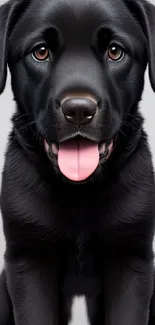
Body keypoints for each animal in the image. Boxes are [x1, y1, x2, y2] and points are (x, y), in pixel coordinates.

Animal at [0, 0, 155, 322]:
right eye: (41, 51)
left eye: (115, 51)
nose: (79, 111)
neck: (79, 191)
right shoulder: (27, 258)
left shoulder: (132, 257)